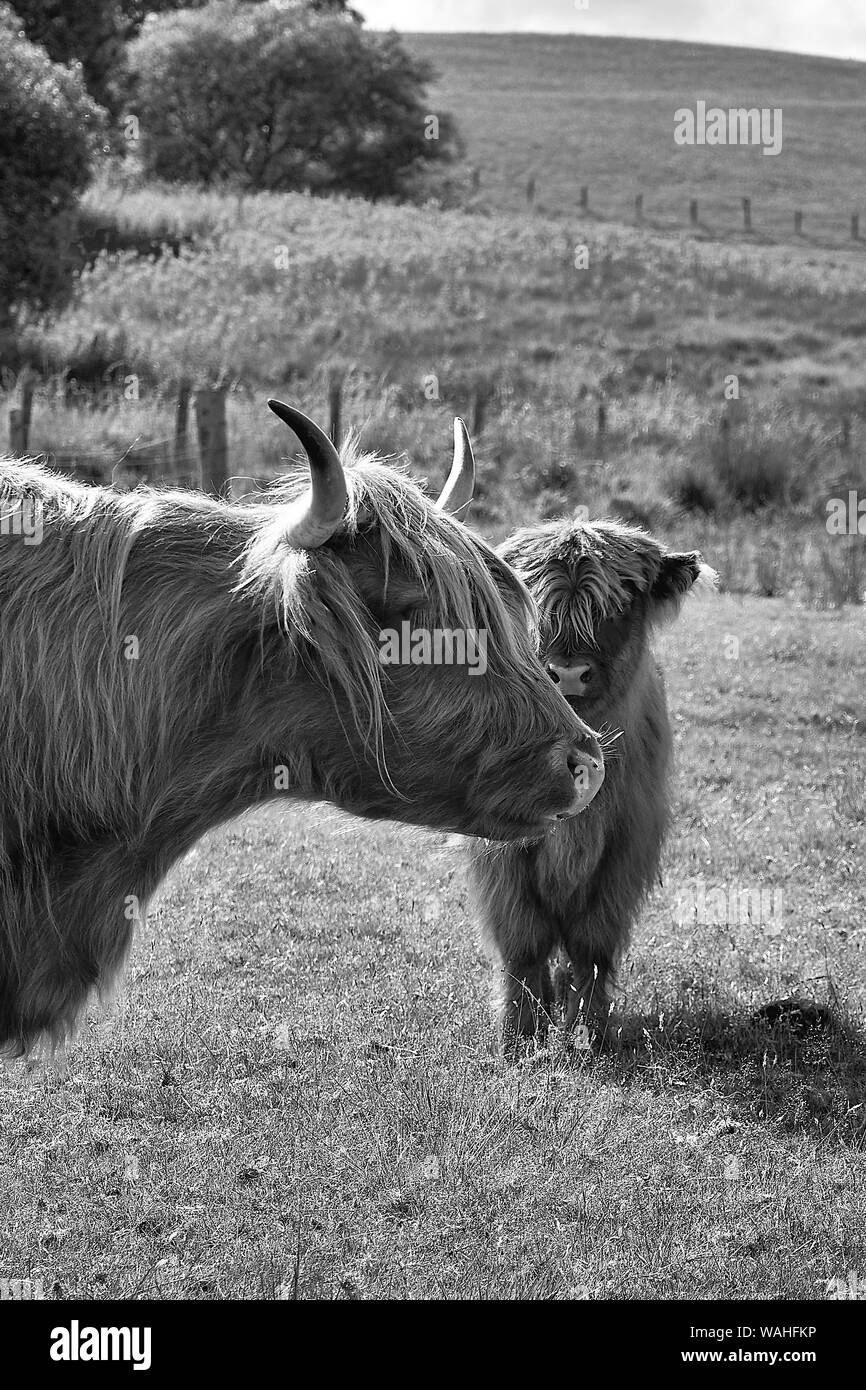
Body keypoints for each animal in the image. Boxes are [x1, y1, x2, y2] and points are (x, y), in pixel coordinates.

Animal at [467, 517, 716, 1052]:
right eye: (533, 601)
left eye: (621, 603)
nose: (567, 673)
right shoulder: (501, 853)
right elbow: (523, 943)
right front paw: (520, 1036)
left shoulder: (625, 849)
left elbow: (593, 945)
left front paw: (590, 1034)